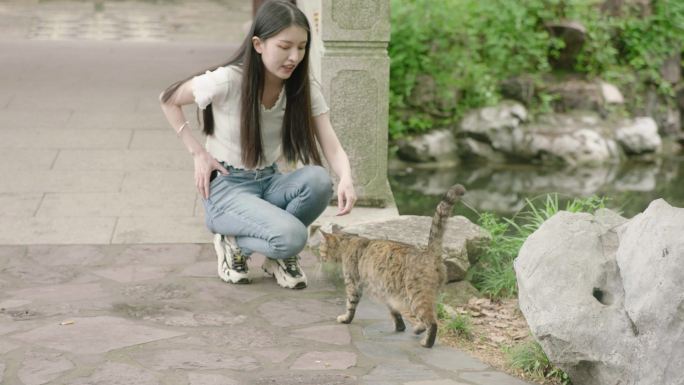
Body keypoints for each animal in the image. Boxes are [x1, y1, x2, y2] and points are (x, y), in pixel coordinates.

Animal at [320, 184, 468, 348]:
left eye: (321, 249)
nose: (320, 257)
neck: (348, 242)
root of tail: (429, 253)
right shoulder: (386, 292)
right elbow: (394, 311)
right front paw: (400, 326)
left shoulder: (353, 284)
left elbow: (350, 305)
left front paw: (346, 319)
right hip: (425, 295)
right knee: (427, 318)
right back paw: (418, 329)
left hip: (416, 297)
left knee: (432, 322)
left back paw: (426, 342)